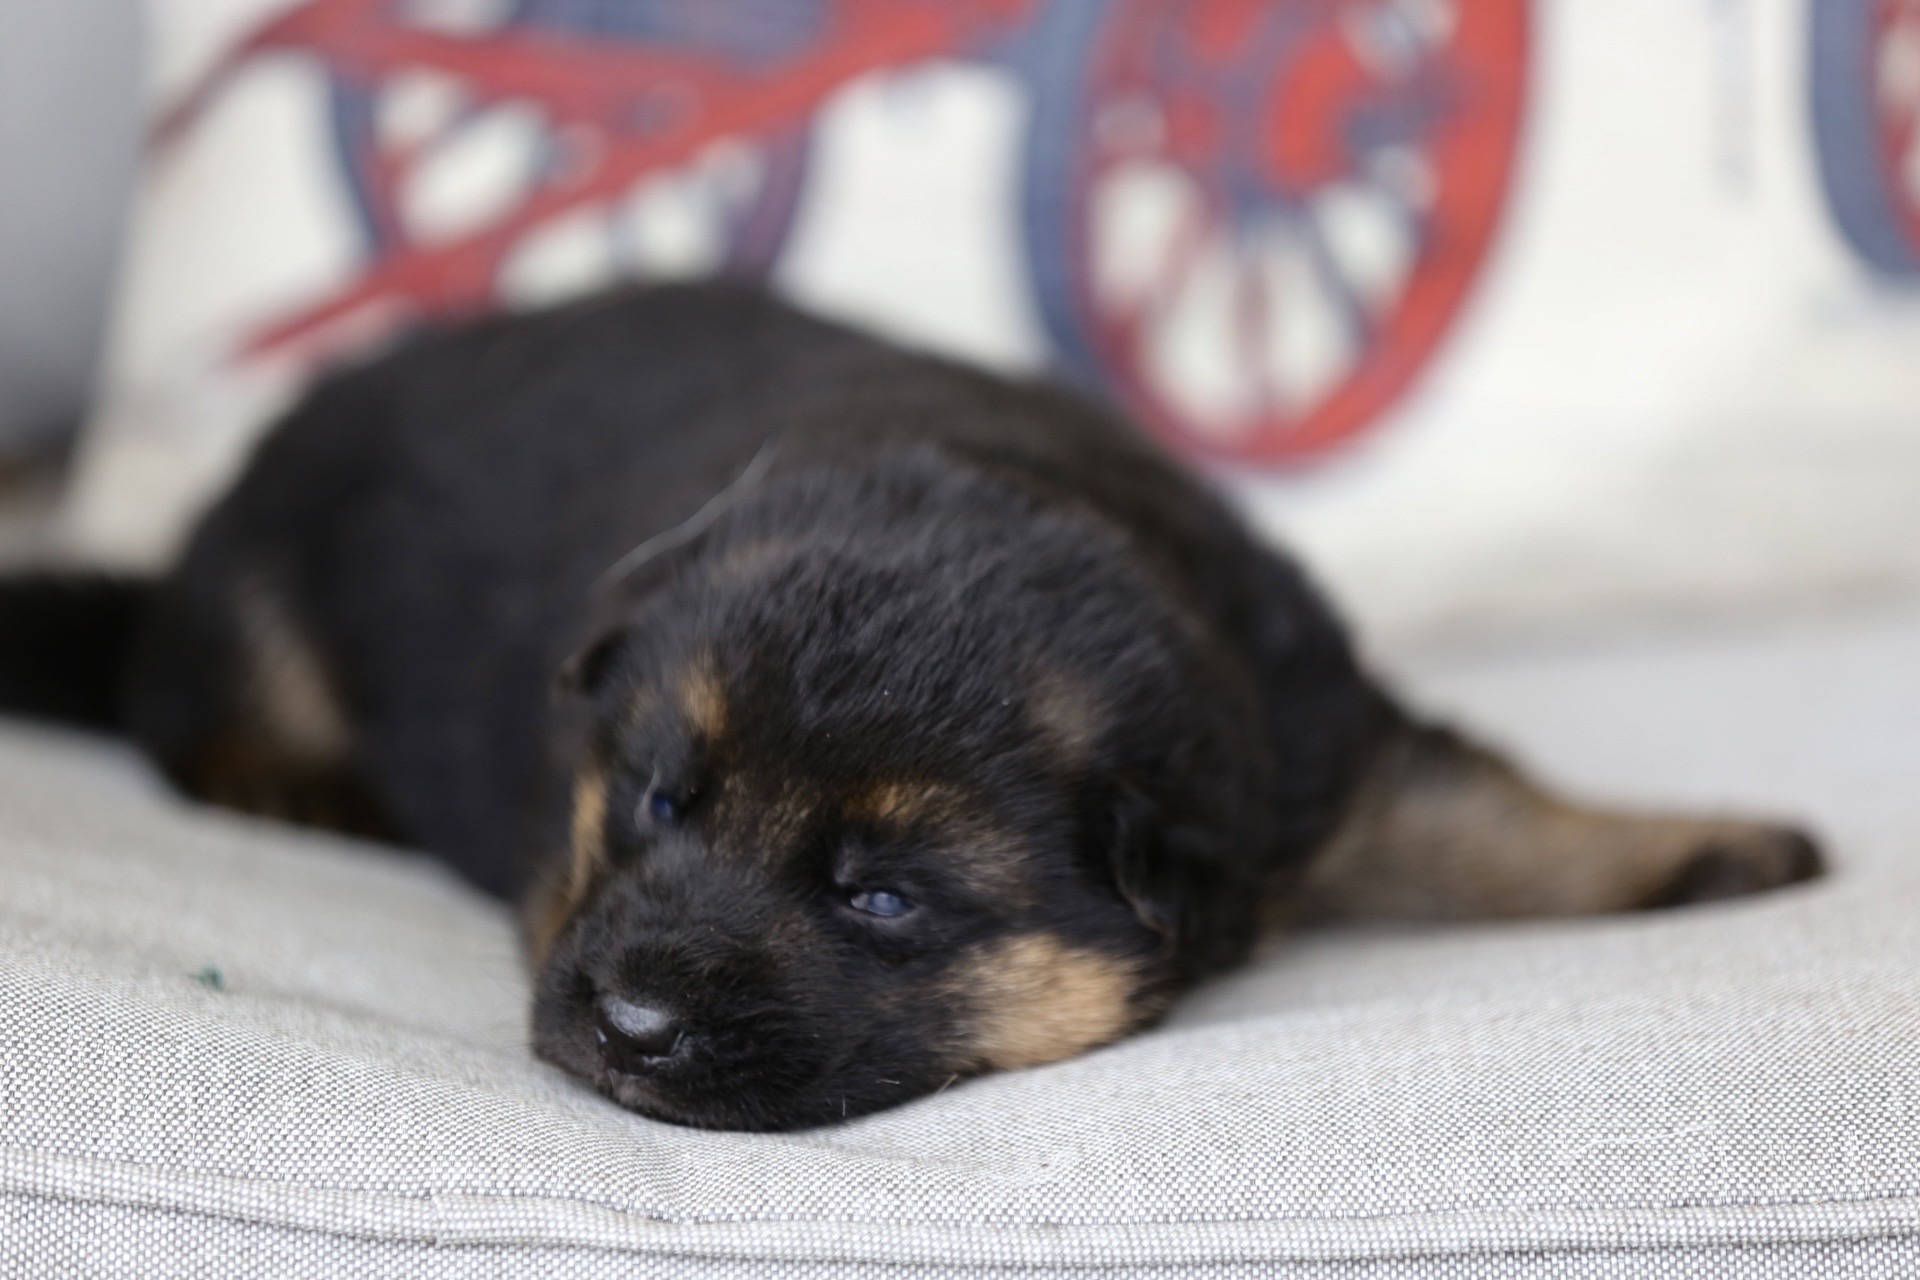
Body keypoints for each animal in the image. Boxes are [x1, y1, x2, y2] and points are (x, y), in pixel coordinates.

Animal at [0, 283, 1822, 1131]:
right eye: (659, 802)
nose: (628, 1025)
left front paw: (1712, 850)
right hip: (261, 565)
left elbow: (1480, 809)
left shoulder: (1319, 750)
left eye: (881, 897)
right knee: (193, 704)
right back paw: (298, 779)